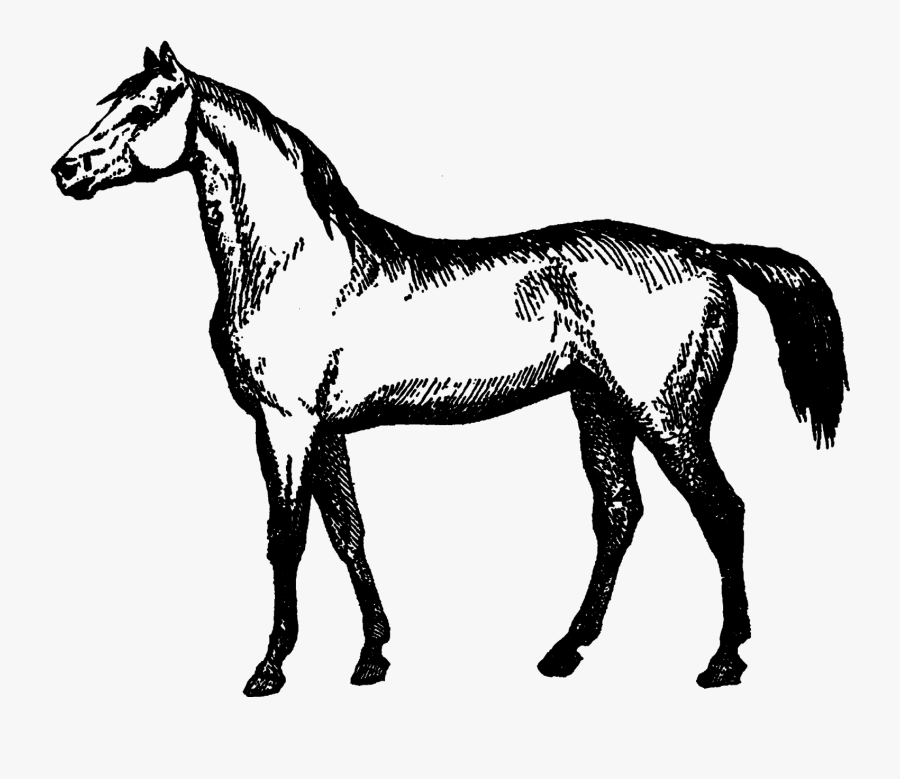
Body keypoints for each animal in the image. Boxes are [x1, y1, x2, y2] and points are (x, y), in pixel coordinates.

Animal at [52, 43, 847, 696]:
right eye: (108, 102)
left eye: (145, 107)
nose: (65, 170)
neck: (293, 264)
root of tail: (707, 251)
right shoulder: (326, 431)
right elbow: (347, 532)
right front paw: (371, 656)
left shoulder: (286, 427)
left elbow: (287, 538)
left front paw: (269, 668)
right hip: (599, 407)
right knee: (620, 514)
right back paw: (565, 651)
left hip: (668, 416)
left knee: (722, 511)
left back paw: (723, 661)